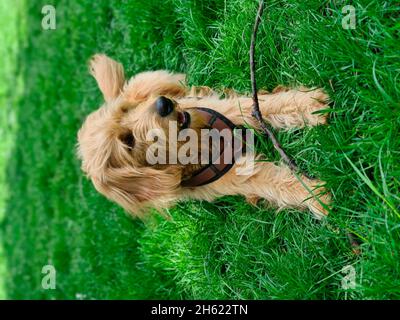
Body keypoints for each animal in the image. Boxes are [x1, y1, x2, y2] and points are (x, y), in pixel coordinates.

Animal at [77, 55, 332, 220]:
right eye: (127, 141)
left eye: (126, 110)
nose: (163, 105)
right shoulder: (230, 177)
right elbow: (273, 182)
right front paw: (316, 196)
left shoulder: (220, 109)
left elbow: (259, 106)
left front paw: (308, 105)